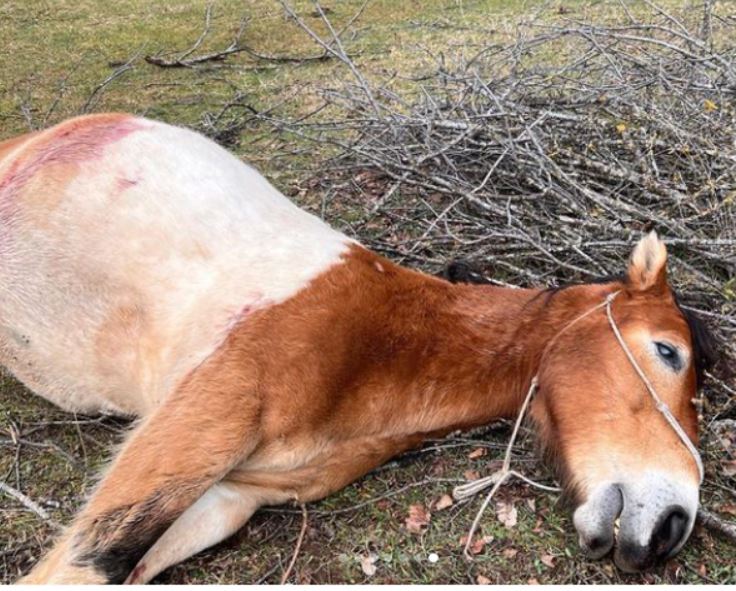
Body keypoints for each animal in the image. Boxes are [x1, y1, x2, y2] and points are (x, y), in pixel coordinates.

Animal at [0, 114, 717, 583]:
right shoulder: (196, 428)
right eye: (668, 351)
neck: (379, 342)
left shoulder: (230, 496)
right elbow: (86, 565)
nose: (673, 525)